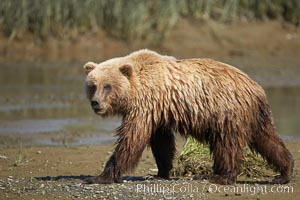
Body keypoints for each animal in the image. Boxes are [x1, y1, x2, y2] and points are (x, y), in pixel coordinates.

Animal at [82, 49, 292, 185]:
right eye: (92, 85)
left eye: (107, 86)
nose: (96, 103)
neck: (136, 89)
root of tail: (256, 87)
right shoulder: (159, 112)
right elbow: (162, 143)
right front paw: (161, 172)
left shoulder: (146, 106)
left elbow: (131, 140)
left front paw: (99, 177)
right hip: (254, 115)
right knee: (267, 139)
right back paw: (284, 172)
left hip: (227, 112)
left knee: (227, 145)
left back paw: (218, 176)